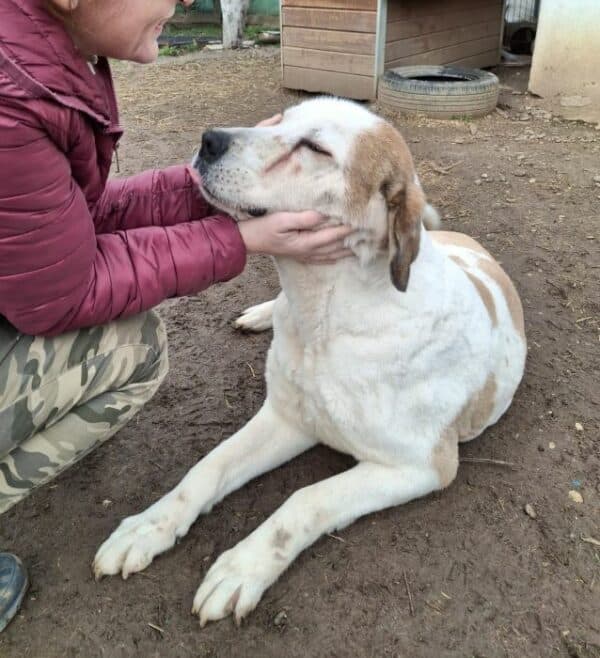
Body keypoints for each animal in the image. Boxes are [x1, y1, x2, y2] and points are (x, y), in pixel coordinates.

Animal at [92, 97, 524, 624]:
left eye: (316, 148)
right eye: (280, 121)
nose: (209, 140)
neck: (325, 317)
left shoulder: (421, 466)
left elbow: (304, 500)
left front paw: (242, 567)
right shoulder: (285, 417)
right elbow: (207, 468)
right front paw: (149, 526)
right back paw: (260, 315)